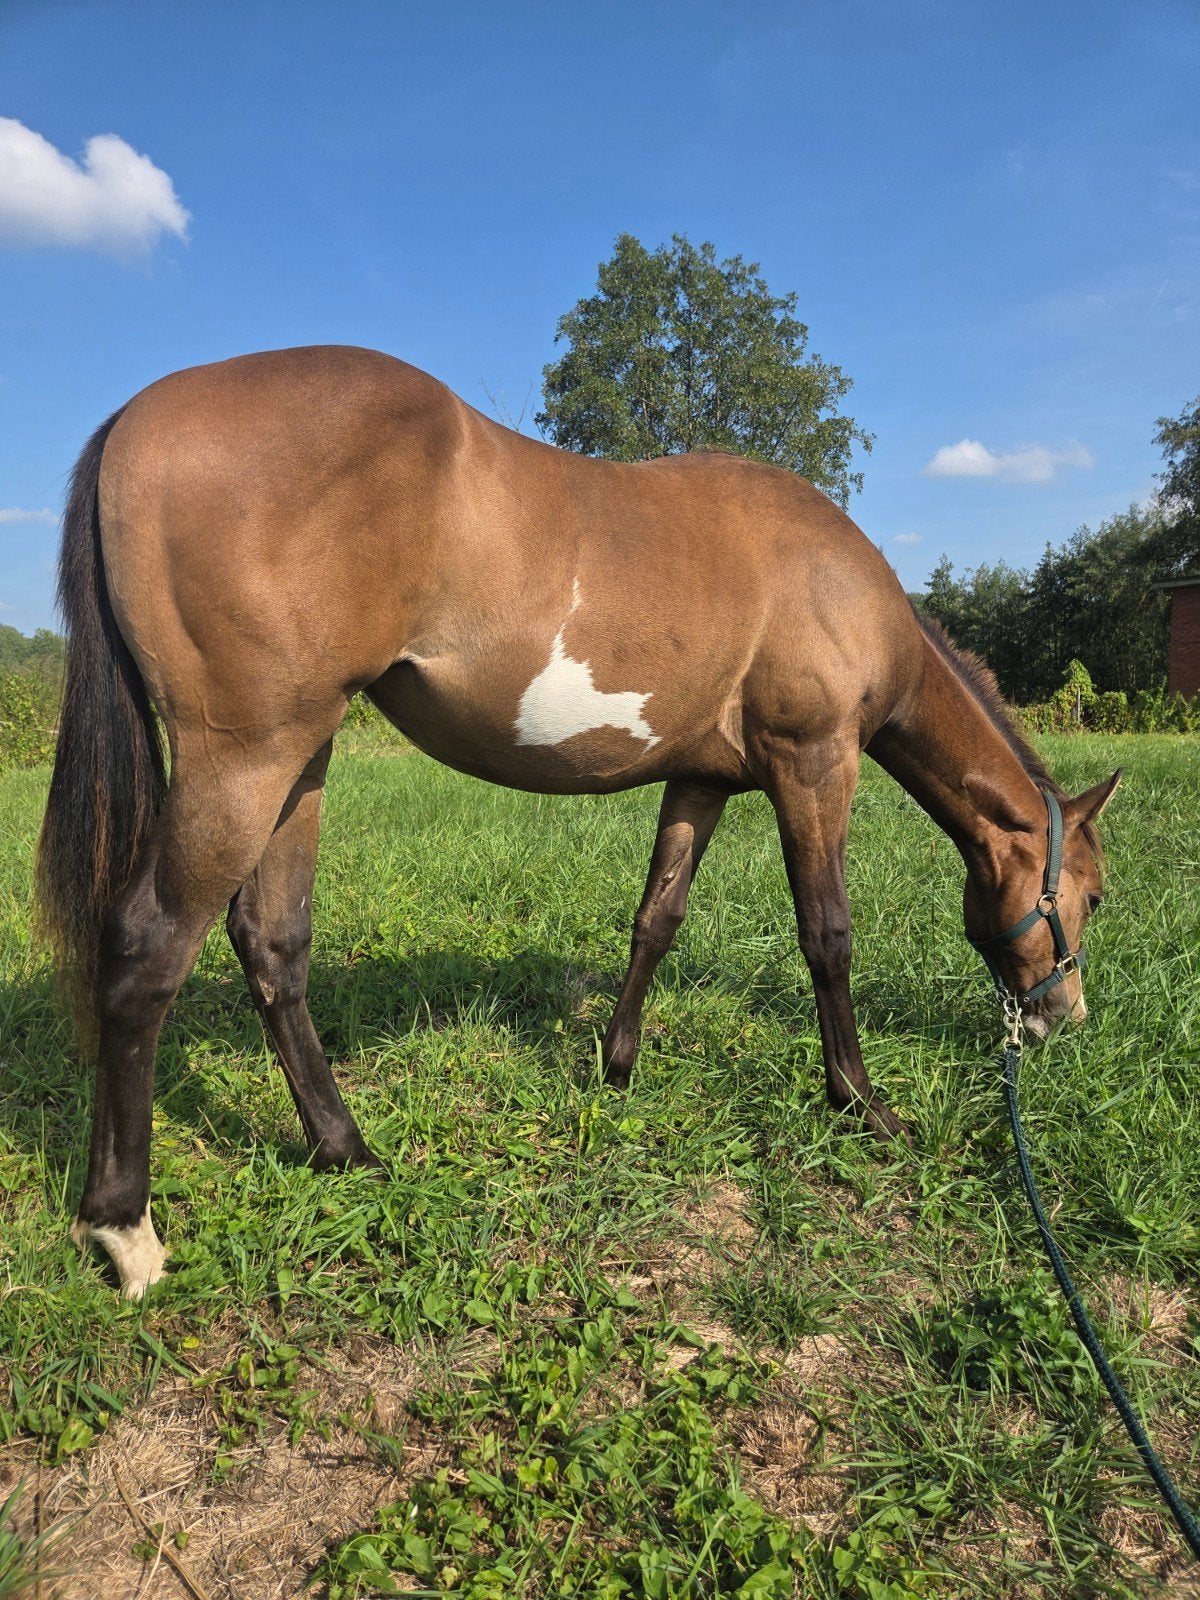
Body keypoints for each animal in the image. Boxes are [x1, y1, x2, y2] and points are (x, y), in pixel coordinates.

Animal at [35, 345, 1119, 1298]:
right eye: (1095, 896)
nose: (1062, 1017)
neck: (840, 585)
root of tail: (140, 416)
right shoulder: (815, 764)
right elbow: (829, 934)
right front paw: (859, 1101)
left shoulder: (701, 783)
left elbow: (657, 919)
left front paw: (618, 1065)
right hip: (247, 759)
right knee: (146, 951)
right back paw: (124, 1227)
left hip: (299, 762)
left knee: (271, 942)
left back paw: (345, 1151)